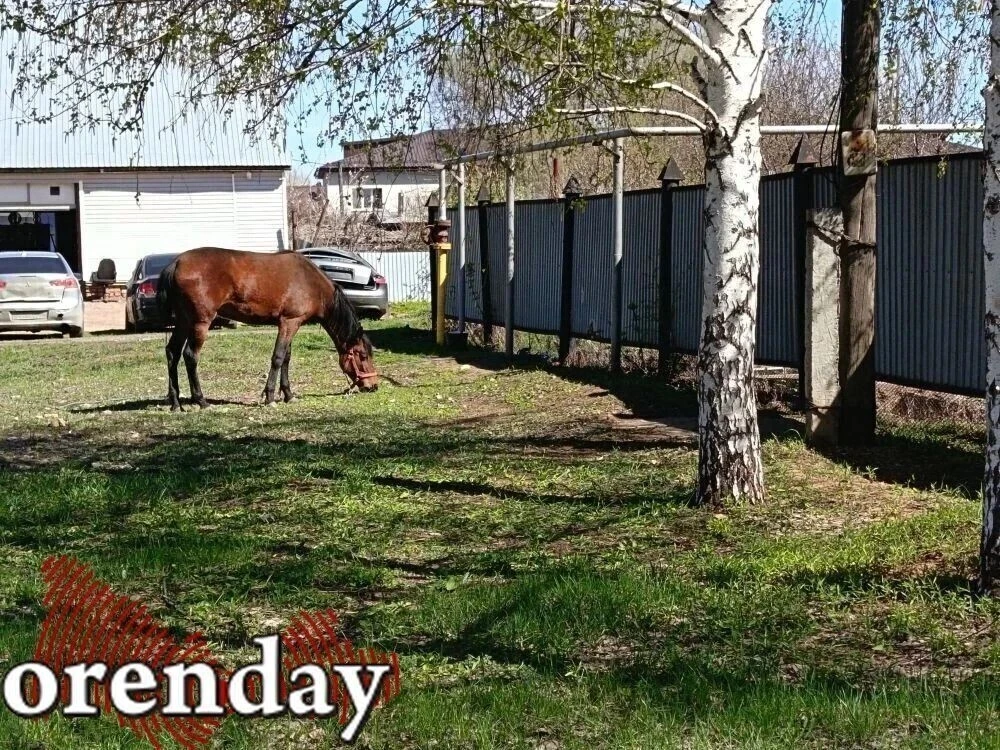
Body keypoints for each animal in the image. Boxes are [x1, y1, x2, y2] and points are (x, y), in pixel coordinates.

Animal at [156, 247, 379, 411]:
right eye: (362, 356)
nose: (373, 385)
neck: (311, 283)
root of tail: (176, 263)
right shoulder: (289, 322)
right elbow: (278, 358)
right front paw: (270, 396)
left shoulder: (290, 323)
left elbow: (286, 358)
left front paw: (288, 395)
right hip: (200, 322)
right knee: (190, 356)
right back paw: (201, 401)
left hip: (184, 321)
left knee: (172, 352)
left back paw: (176, 403)